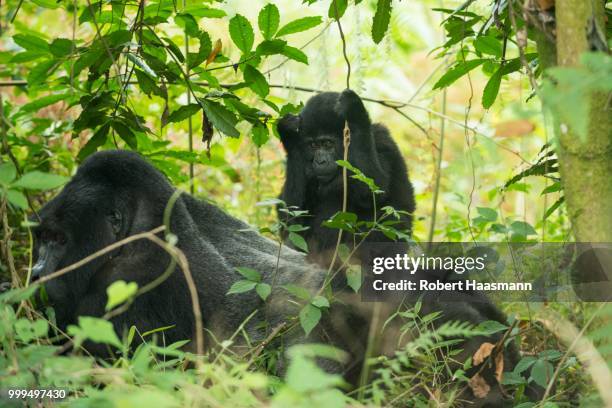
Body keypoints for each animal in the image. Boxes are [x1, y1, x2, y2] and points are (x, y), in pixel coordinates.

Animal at [278, 89, 416, 262]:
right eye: (313, 145)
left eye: (328, 144)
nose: (320, 161)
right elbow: (291, 218)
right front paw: (289, 135)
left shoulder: (382, 140)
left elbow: (374, 191)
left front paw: (355, 112)